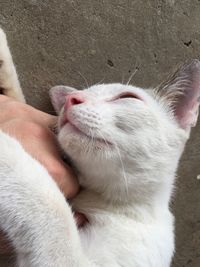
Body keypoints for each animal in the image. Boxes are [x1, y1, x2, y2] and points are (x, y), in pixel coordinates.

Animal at [0, 25, 200, 267]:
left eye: (127, 97)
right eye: (72, 97)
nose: (71, 99)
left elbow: (54, 211)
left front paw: (6, 153)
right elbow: (17, 98)